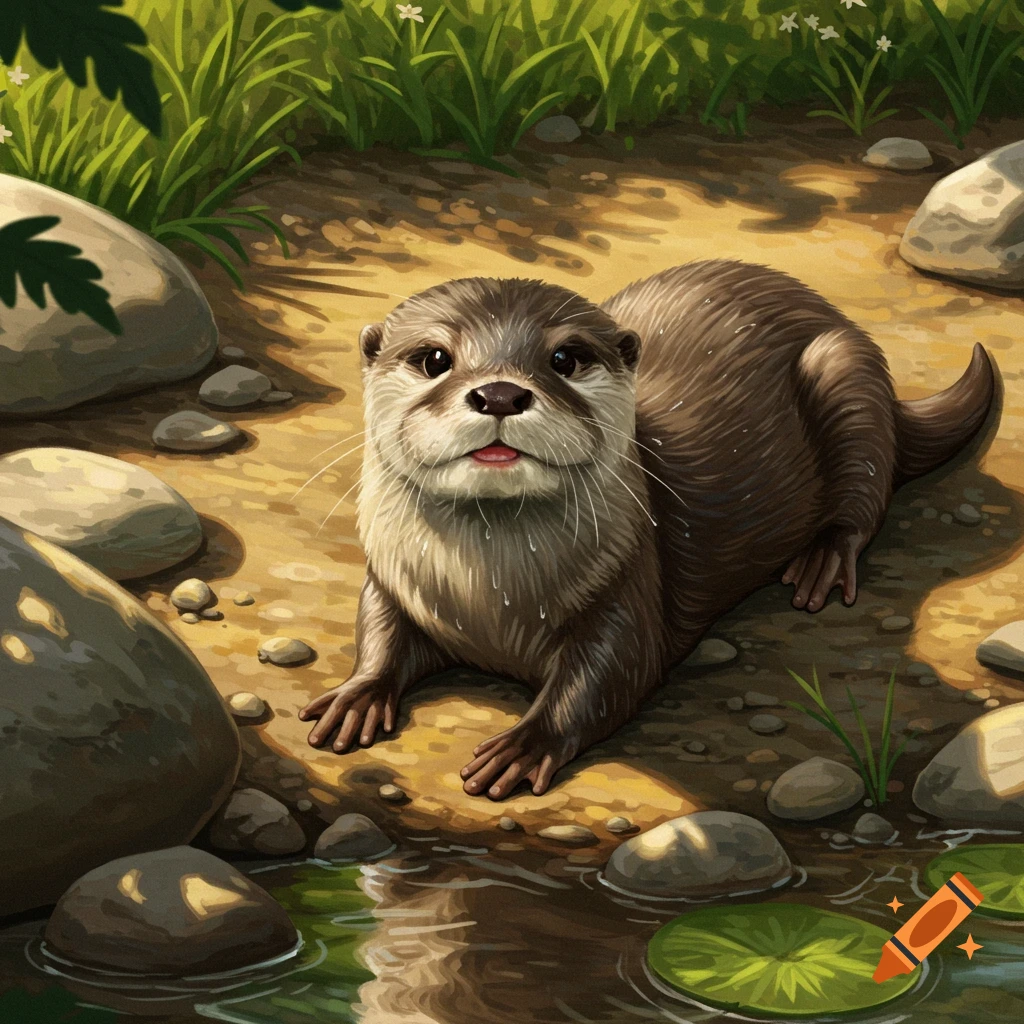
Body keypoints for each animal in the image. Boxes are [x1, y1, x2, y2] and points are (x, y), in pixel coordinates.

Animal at [300, 260, 995, 801]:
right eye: (434, 358)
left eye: (566, 357)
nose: (499, 394)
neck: (486, 600)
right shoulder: (395, 577)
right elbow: (379, 628)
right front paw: (354, 695)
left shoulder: (630, 583)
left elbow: (605, 679)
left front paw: (524, 745)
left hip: (847, 379)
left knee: (867, 496)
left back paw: (822, 560)